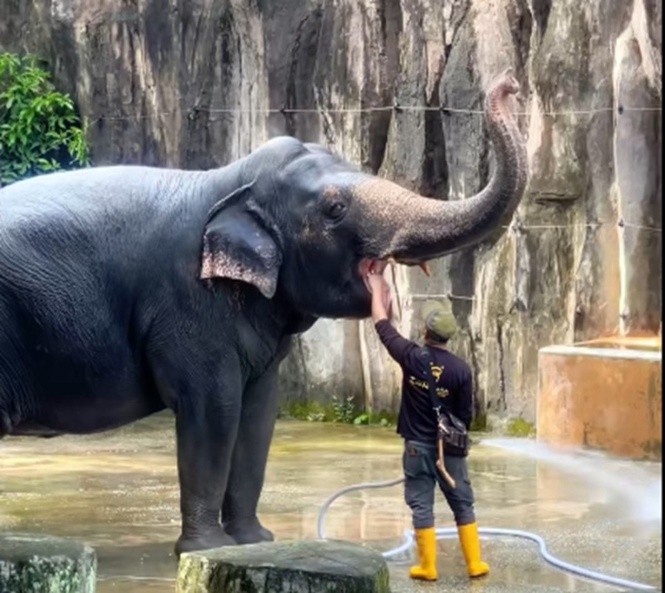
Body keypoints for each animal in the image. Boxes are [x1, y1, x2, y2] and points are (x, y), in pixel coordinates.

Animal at [0, 69, 528, 555]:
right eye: (334, 208)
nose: (510, 84)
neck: (227, 179)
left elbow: (259, 411)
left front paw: (255, 542)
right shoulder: (188, 304)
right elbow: (214, 408)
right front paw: (207, 550)